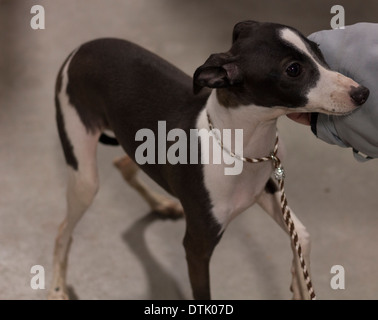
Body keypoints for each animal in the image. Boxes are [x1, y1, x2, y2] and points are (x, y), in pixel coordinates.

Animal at [48, 20, 370, 300]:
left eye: (318, 50)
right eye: (293, 70)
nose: (362, 92)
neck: (238, 145)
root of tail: (79, 50)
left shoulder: (265, 190)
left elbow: (302, 235)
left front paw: (300, 283)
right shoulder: (197, 247)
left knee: (124, 165)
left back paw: (161, 204)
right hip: (84, 175)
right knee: (63, 230)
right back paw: (57, 288)